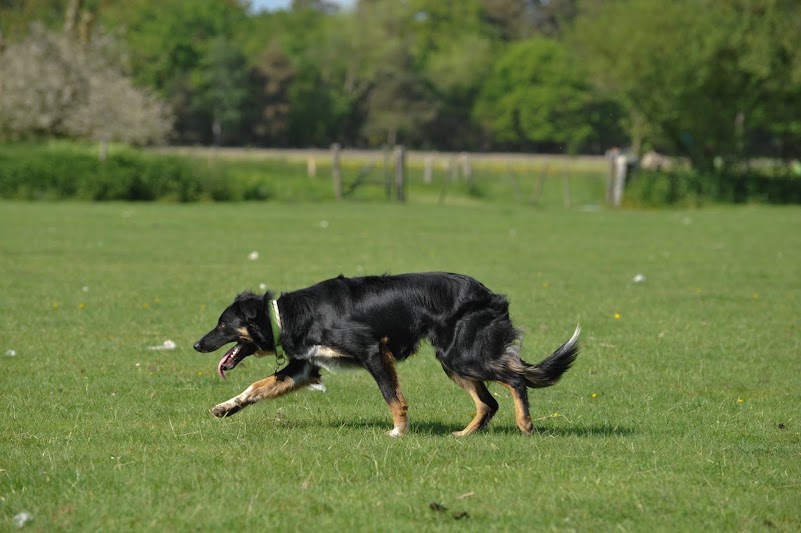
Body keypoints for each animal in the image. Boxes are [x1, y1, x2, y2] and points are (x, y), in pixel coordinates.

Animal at [194, 272, 580, 434]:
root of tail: (491, 295)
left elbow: (392, 396)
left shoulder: (372, 351)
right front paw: (225, 407)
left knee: (516, 380)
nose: (197, 345)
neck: (287, 315)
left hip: (463, 356)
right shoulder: (304, 368)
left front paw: (399, 431)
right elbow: (256, 388)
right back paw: (463, 436)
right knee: (489, 403)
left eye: (223, 324)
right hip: (452, 361)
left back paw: (525, 425)